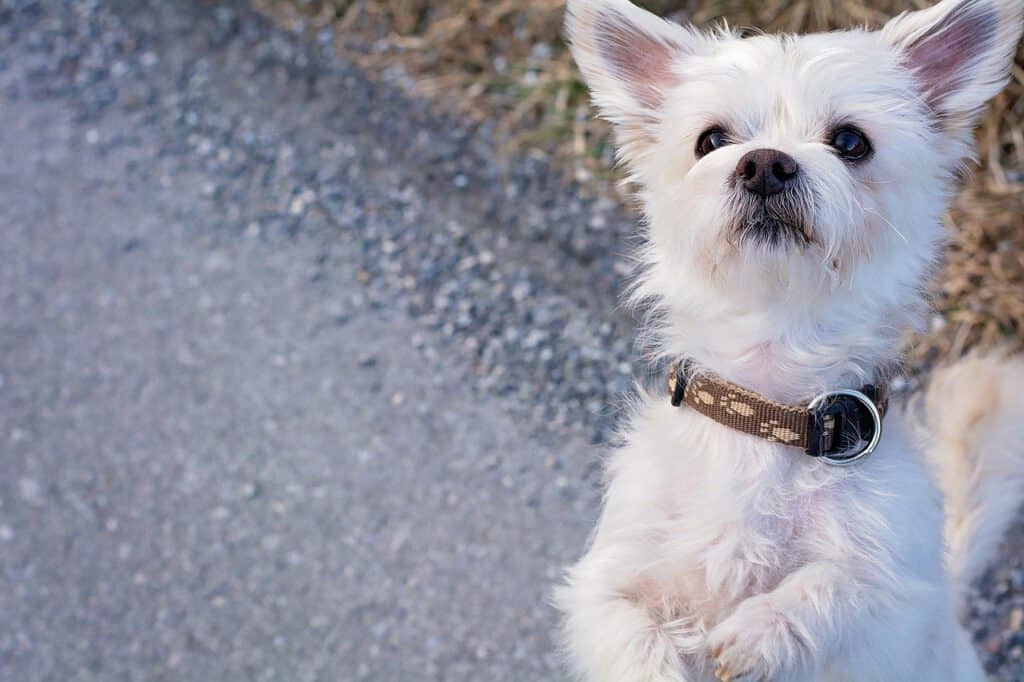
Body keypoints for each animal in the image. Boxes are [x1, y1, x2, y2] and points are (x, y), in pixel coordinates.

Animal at [557, 0, 1024, 675]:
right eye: (711, 140)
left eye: (851, 142)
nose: (765, 164)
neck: (768, 413)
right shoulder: (603, 580)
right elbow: (631, 635)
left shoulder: (896, 600)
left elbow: (841, 585)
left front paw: (760, 629)